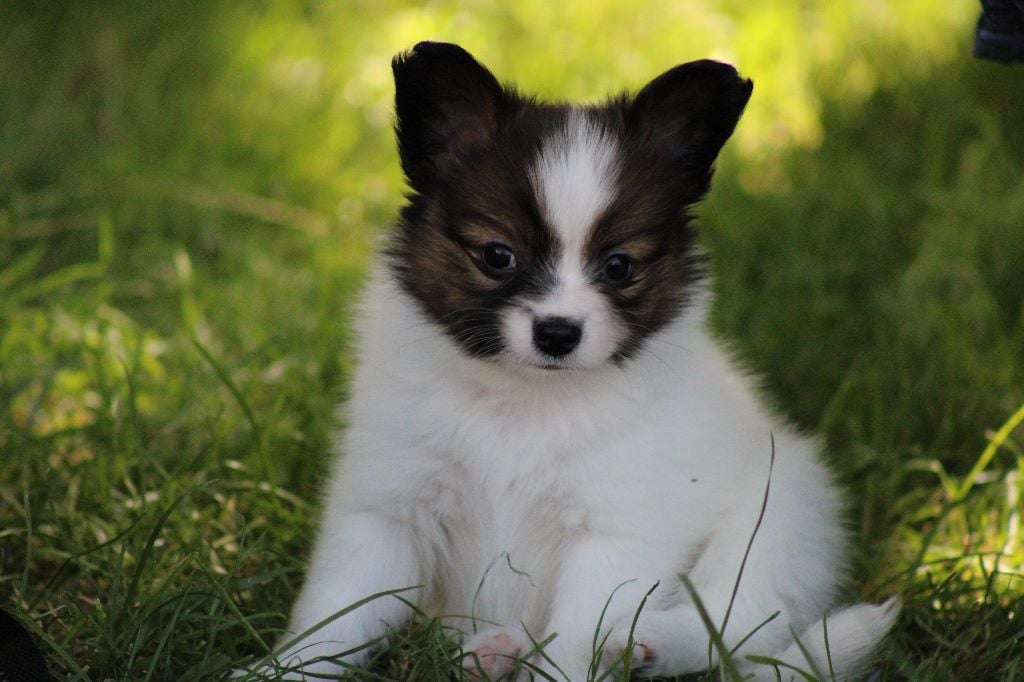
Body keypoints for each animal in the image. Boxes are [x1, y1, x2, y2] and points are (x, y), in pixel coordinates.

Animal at [270, 43, 897, 679]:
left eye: (619, 266)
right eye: (497, 255)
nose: (557, 333)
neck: (524, 400)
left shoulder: (613, 536)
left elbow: (576, 638)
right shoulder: (386, 510)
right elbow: (335, 616)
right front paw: (282, 670)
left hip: (780, 515)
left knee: (736, 620)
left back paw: (646, 642)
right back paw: (496, 650)